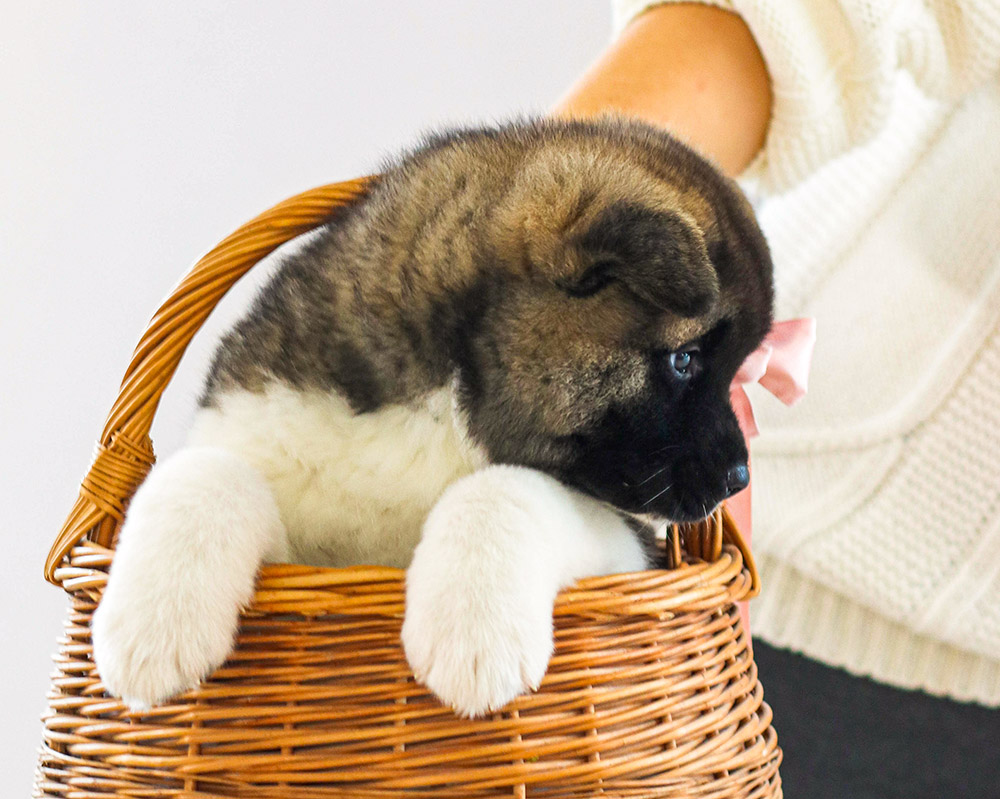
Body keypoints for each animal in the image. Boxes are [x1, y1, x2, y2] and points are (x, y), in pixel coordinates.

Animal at [92, 117, 772, 720]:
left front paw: (473, 632)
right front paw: (153, 627)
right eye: (684, 360)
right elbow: (207, 472)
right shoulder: (273, 468)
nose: (739, 479)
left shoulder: (629, 550)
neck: (445, 403)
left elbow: (508, 487)